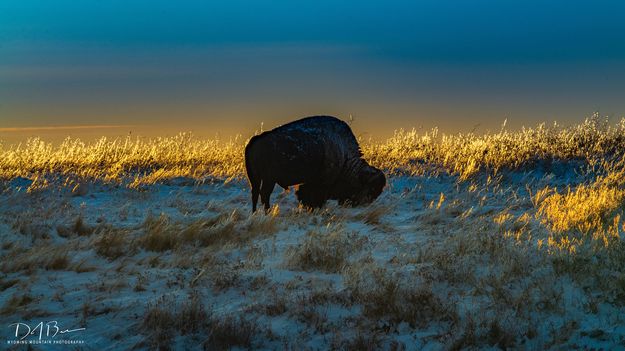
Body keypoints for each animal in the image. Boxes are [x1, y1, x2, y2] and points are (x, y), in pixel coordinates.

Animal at [244, 117, 386, 213]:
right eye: (371, 189)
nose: (364, 204)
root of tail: (256, 140)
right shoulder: (322, 184)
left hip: (255, 178)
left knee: (255, 193)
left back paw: (255, 213)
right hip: (269, 179)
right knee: (264, 194)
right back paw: (267, 212)